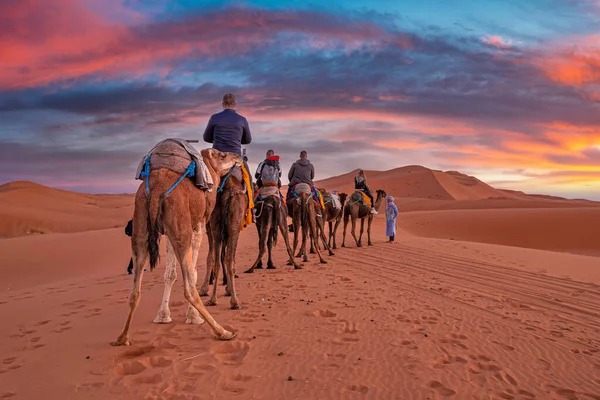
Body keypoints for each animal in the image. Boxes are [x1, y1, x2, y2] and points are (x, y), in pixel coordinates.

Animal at [113, 148, 240, 346]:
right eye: (222, 155)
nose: (238, 157)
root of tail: (157, 189)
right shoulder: (198, 225)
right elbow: (193, 273)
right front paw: (192, 317)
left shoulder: (169, 233)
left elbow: (170, 274)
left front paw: (163, 316)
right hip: (181, 227)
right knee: (190, 289)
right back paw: (223, 332)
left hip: (141, 227)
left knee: (135, 290)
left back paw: (122, 337)